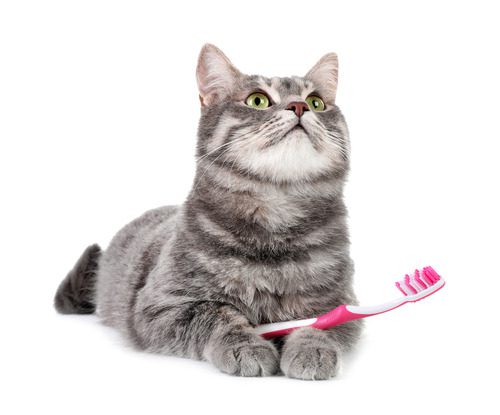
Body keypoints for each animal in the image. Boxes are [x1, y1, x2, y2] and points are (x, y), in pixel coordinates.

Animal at [54, 44, 362, 380]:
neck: (276, 215)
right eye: (257, 100)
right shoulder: (161, 305)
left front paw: (312, 350)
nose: (299, 106)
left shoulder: (340, 302)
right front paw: (245, 346)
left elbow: (320, 326)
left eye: (316, 102)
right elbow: (217, 315)